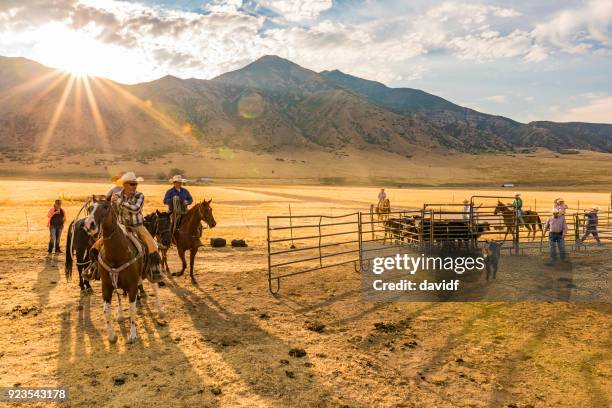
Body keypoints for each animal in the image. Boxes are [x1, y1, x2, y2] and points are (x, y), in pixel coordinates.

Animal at [85, 196, 165, 342]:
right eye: (90, 208)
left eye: (105, 207)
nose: (89, 224)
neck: (117, 252)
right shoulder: (106, 285)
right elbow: (106, 310)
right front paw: (112, 335)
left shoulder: (132, 285)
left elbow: (132, 309)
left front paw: (133, 335)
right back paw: (120, 315)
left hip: (152, 269)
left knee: (154, 286)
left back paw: (160, 310)